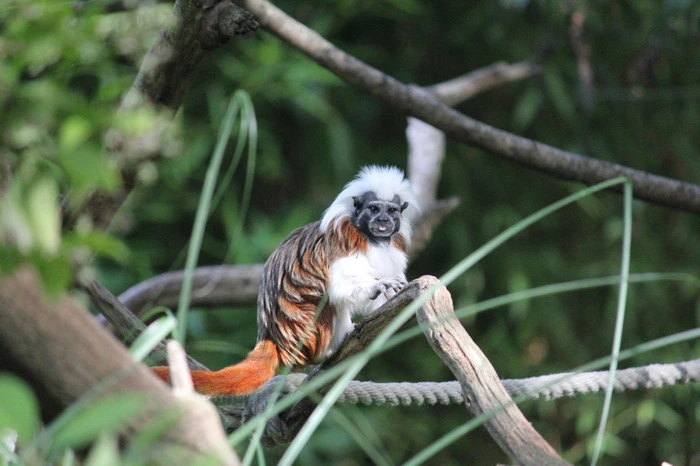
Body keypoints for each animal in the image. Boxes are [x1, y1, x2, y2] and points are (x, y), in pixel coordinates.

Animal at [151, 165, 418, 396]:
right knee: (330, 301)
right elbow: (342, 284)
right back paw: (336, 345)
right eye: (373, 209)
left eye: (391, 211)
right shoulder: (347, 241)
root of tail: (273, 340)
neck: (374, 239)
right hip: (311, 334)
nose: (382, 222)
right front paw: (377, 286)